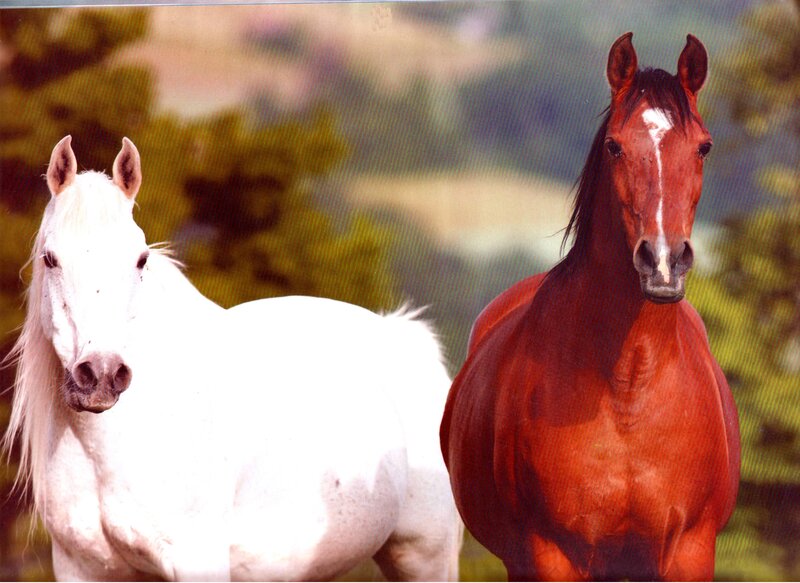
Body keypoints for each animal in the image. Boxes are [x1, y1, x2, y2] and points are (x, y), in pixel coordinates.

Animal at [3, 135, 463, 581]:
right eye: (50, 259)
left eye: (140, 259)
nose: (101, 374)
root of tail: (407, 338)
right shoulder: (81, 567)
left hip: (426, 558)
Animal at [440, 33, 740, 581]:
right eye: (615, 145)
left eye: (704, 147)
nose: (663, 260)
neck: (627, 391)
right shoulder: (551, 555)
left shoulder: (688, 553)